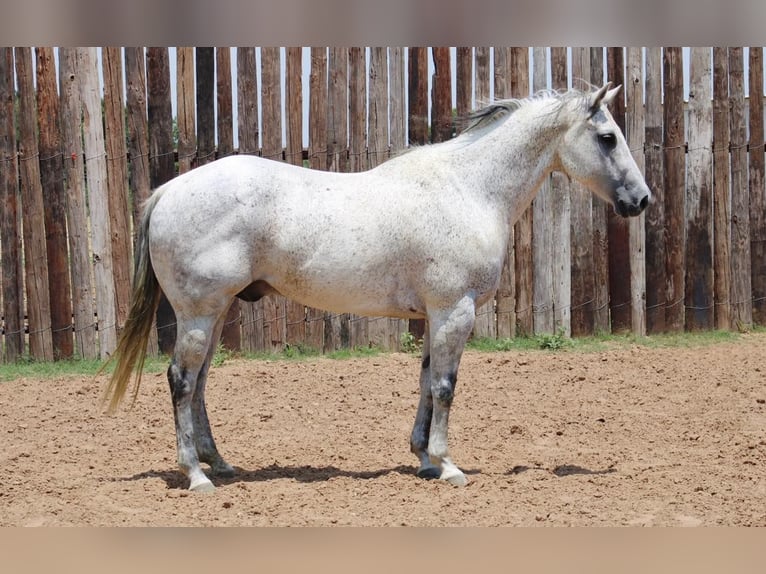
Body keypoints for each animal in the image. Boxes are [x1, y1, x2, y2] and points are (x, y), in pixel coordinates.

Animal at [103, 83, 656, 492]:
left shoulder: (436, 316)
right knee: (180, 381)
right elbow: (445, 387)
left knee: (199, 384)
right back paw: (195, 475)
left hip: (214, 315)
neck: (469, 189)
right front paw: (448, 466)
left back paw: (218, 463)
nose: (641, 199)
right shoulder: (455, 311)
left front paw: (424, 460)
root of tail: (170, 190)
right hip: (198, 313)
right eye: (607, 137)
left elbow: (427, 382)